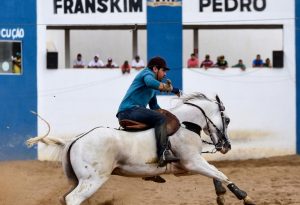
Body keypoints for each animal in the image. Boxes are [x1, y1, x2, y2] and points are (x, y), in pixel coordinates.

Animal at [27, 93, 254, 205]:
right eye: (227, 119)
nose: (226, 146)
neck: (185, 124)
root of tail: (74, 140)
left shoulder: (185, 168)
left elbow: (215, 173)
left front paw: (221, 196)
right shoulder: (193, 162)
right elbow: (220, 173)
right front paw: (245, 197)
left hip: (78, 181)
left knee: (65, 198)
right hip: (93, 180)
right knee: (73, 199)